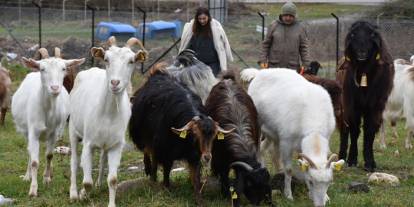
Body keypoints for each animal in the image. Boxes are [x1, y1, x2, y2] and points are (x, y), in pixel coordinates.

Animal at [12, 47, 85, 197]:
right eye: (42, 69)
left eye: (64, 68)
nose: (55, 88)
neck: (47, 112)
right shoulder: (33, 132)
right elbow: (34, 161)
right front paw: (33, 189)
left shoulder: (54, 132)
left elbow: (49, 155)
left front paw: (46, 179)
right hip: (26, 132)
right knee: (29, 151)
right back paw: (27, 176)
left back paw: (50, 173)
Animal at [67, 36, 146, 207]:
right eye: (106, 59)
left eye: (131, 61)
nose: (115, 83)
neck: (108, 114)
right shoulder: (88, 143)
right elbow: (86, 182)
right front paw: (82, 194)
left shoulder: (116, 145)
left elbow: (113, 180)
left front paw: (111, 202)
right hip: (73, 130)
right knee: (74, 161)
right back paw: (73, 193)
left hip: (105, 144)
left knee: (103, 159)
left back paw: (98, 183)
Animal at [205, 70, 272, 206]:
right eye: (249, 184)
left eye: (264, 187)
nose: (256, 203)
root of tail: (227, 80)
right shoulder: (220, 158)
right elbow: (223, 174)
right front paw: (224, 193)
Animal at [241, 68, 344, 207]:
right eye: (311, 181)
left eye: (329, 182)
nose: (319, 205)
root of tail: (259, 72)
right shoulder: (287, 143)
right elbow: (289, 169)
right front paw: (288, 195)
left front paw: (325, 197)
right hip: (259, 125)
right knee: (259, 150)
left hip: (273, 133)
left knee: (269, 151)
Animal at [336, 20, 394, 171]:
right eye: (353, 34)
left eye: (371, 34)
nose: (361, 53)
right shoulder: (352, 105)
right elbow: (354, 130)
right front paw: (352, 160)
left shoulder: (376, 106)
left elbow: (369, 132)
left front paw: (370, 163)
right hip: (343, 105)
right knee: (345, 130)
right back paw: (341, 156)